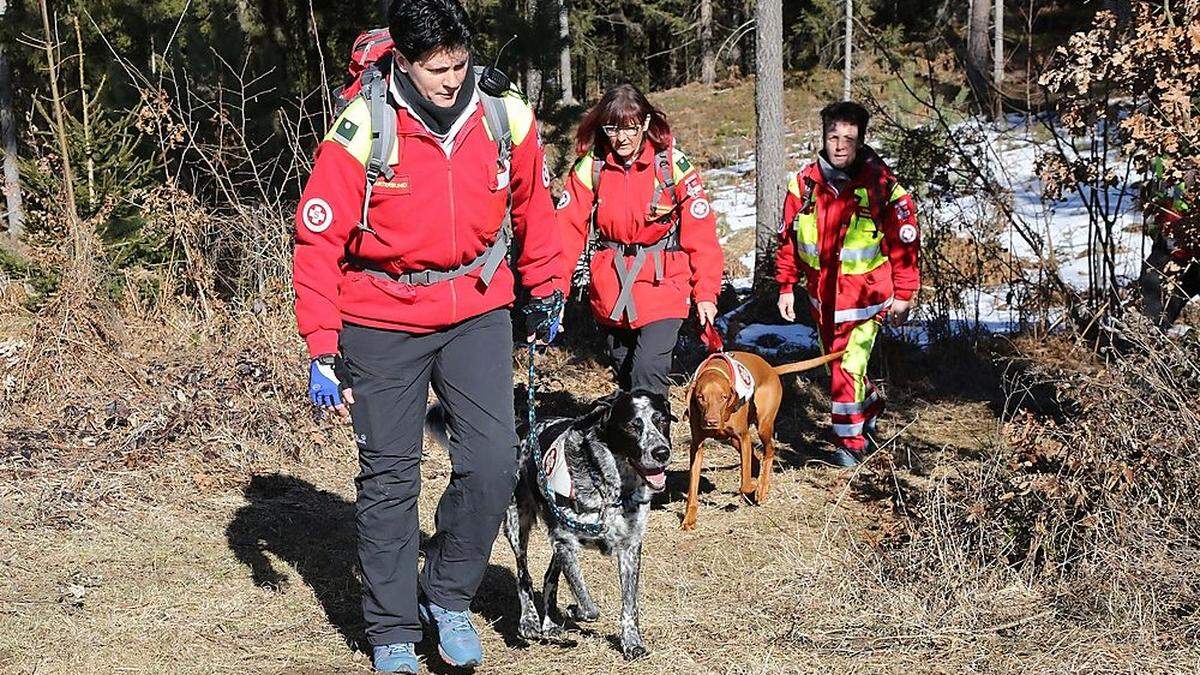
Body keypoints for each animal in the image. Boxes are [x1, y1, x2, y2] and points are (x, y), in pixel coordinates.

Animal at [501, 389, 672, 658]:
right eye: (632, 426)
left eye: (662, 420)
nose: (662, 452)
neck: (611, 493)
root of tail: (523, 426)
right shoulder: (565, 542)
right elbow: (587, 602)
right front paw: (575, 610)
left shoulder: (630, 548)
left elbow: (629, 603)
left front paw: (632, 642)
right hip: (517, 524)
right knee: (523, 574)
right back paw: (529, 621)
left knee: (550, 576)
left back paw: (549, 624)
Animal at [686, 348, 844, 528]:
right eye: (700, 397)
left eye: (723, 397)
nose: (711, 422)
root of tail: (771, 369)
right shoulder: (697, 446)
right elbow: (693, 487)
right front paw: (688, 519)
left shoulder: (744, 437)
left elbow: (745, 485)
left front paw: (753, 487)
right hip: (733, 439)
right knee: (755, 459)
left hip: (763, 425)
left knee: (769, 451)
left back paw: (762, 488)